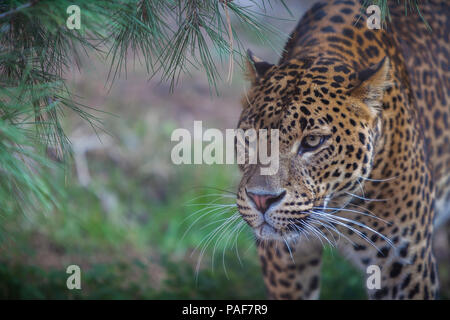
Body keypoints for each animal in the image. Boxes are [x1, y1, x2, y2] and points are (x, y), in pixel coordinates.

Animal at [234, 0, 448, 300]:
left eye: (313, 142)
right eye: (250, 138)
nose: (261, 200)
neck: (337, 209)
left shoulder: (405, 264)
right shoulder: (283, 255)